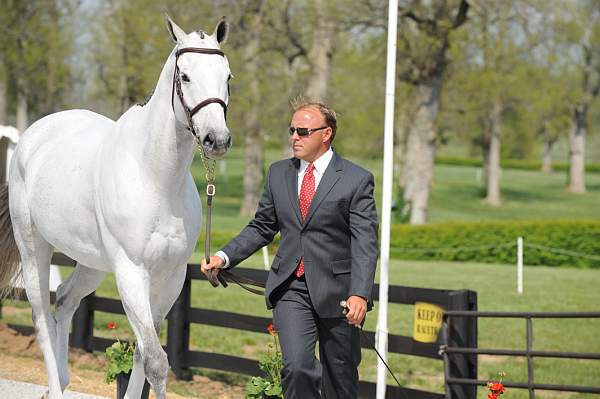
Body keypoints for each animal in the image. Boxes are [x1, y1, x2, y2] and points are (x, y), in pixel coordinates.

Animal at [0, 16, 232, 399]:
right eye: (185, 76)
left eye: (228, 77)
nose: (218, 139)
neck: (156, 178)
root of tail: (32, 137)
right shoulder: (131, 272)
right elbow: (155, 360)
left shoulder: (171, 277)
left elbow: (142, 353)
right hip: (34, 250)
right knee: (41, 316)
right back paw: (55, 386)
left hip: (92, 263)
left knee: (65, 300)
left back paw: (62, 378)